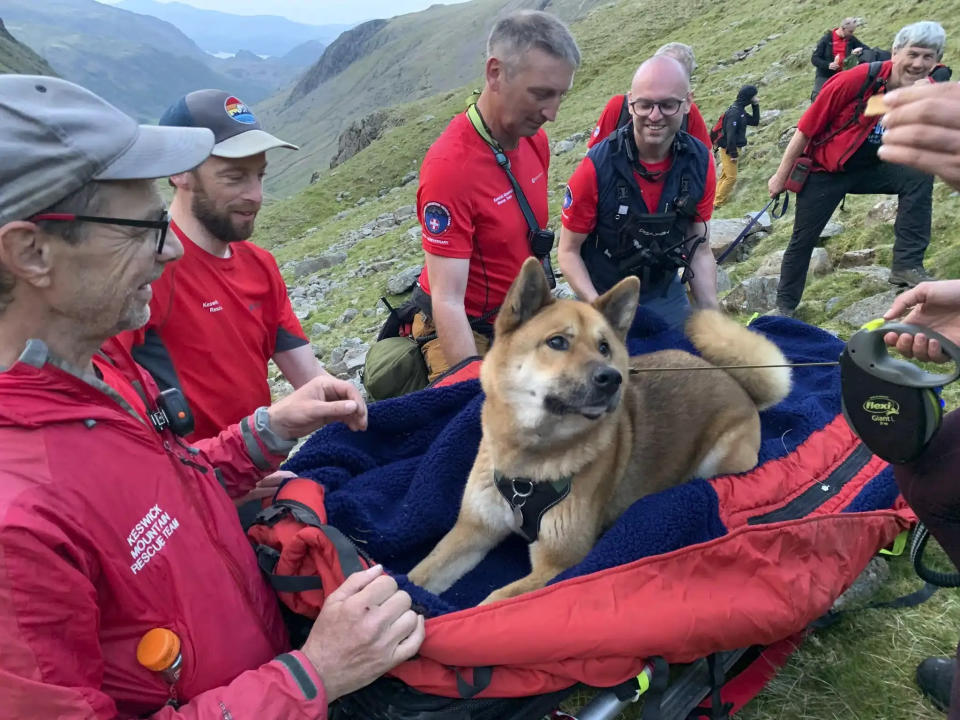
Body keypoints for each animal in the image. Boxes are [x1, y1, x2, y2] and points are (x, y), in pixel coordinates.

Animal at [408, 256, 792, 604]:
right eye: (557, 342)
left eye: (604, 347)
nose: (612, 378)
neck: (528, 464)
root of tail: (735, 382)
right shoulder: (473, 530)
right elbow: (419, 575)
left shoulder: (557, 563)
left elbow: (495, 601)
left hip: (722, 458)